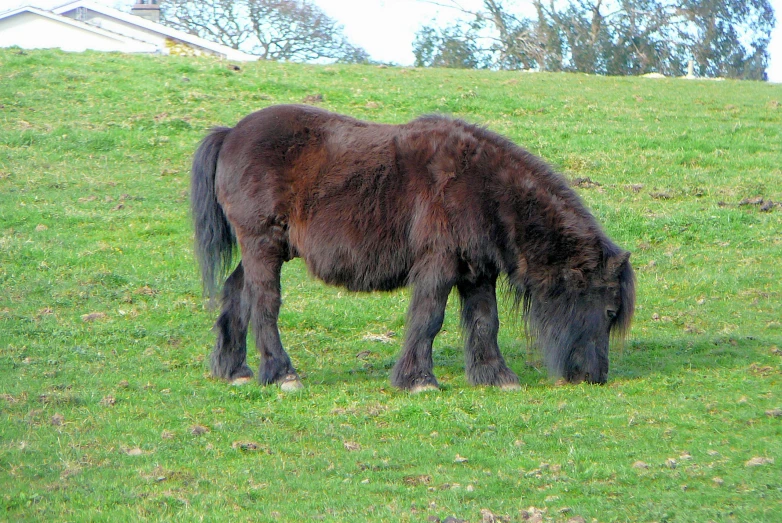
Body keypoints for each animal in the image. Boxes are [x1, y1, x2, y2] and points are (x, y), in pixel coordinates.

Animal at [191, 104, 636, 390]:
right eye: (609, 310)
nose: (594, 377)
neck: (480, 186)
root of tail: (230, 134)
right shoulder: (438, 265)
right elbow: (428, 318)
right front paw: (419, 380)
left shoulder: (477, 273)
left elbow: (484, 323)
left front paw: (496, 378)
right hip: (263, 245)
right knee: (264, 304)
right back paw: (283, 375)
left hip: (263, 250)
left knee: (237, 293)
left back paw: (235, 370)